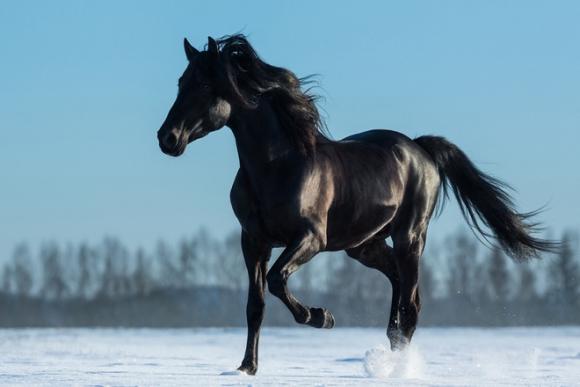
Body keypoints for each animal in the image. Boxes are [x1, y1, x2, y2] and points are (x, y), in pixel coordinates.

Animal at [155, 34, 556, 376]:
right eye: (181, 82)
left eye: (206, 86)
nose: (167, 138)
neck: (276, 166)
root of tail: (420, 148)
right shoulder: (253, 241)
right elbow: (256, 304)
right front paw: (246, 368)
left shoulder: (310, 239)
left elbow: (277, 280)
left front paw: (321, 317)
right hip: (364, 245)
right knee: (397, 282)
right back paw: (390, 350)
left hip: (410, 237)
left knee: (412, 303)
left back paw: (399, 366)